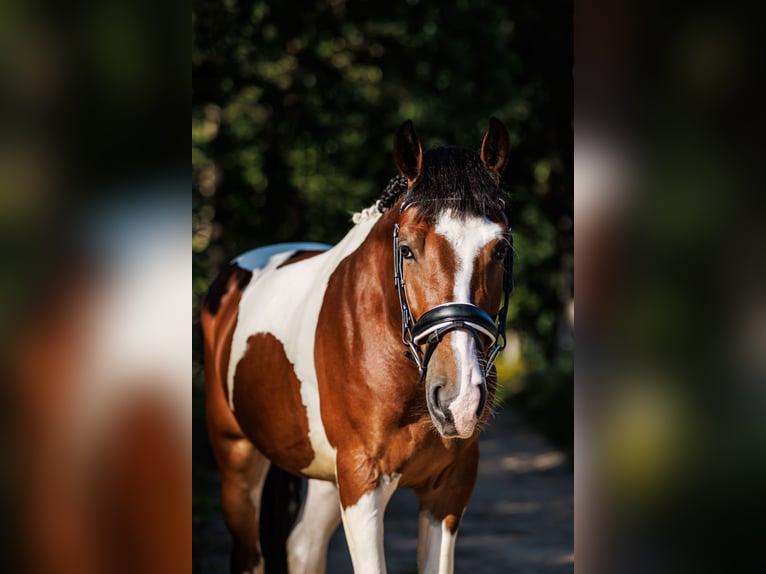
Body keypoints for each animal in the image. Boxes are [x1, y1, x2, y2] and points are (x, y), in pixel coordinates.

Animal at [204, 118, 516, 574]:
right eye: (407, 250)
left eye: (500, 249)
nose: (459, 398)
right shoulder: (362, 485)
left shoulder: (448, 491)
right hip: (238, 461)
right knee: (252, 554)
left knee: (303, 546)